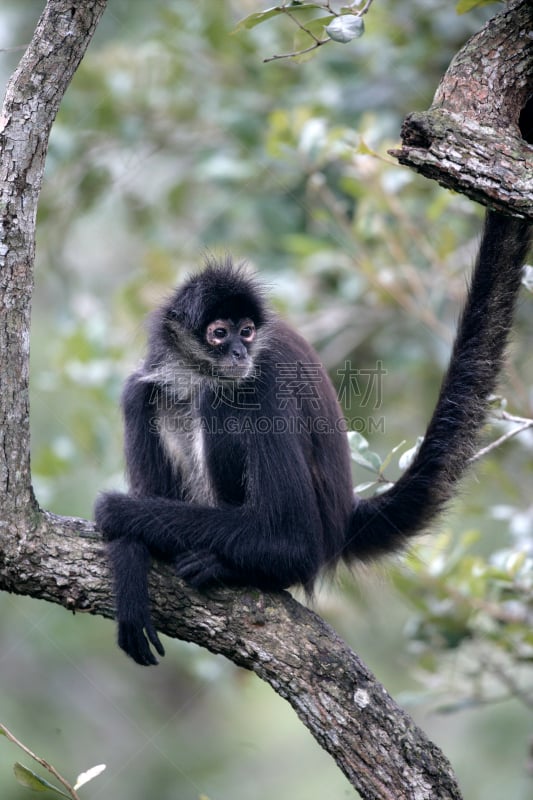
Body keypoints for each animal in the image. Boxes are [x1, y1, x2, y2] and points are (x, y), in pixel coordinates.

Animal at [93, 211, 528, 664]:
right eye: (219, 333)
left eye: (246, 331)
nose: (239, 354)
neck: (194, 377)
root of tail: (342, 520)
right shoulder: (140, 385)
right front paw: (129, 563)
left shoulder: (262, 383)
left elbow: (292, 541)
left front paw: (119, 511)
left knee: (223, 406)